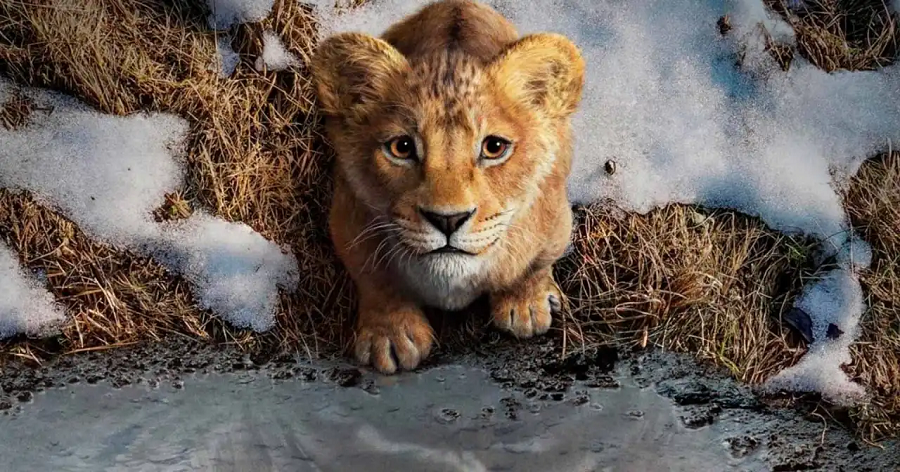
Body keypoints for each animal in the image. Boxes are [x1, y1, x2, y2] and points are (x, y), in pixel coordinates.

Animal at [311, 0, 585, 374]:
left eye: (494, 147)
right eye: (402, 148)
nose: (448, 220)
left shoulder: (556, 219)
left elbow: (534, 264)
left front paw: (526, 305)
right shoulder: (347, 219)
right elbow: (375, 279)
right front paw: (391, 335)